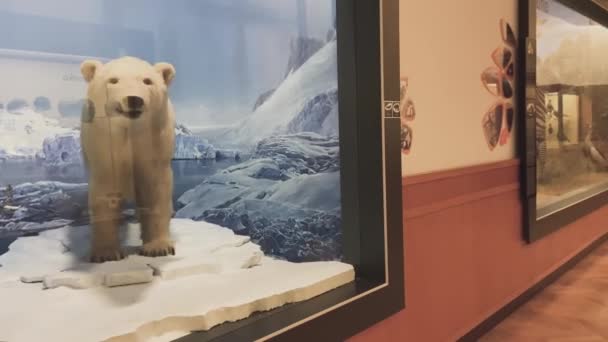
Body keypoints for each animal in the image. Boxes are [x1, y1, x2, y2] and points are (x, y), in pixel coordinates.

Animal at [80, 57, 176, 264]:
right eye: (113, 80)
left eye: (147, 81)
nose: (133, 99)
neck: (130, 131)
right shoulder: (105, 147)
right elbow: (106, 190)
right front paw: (106, 253)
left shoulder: (154, 142)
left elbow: (155, 188)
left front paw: (158, 247)